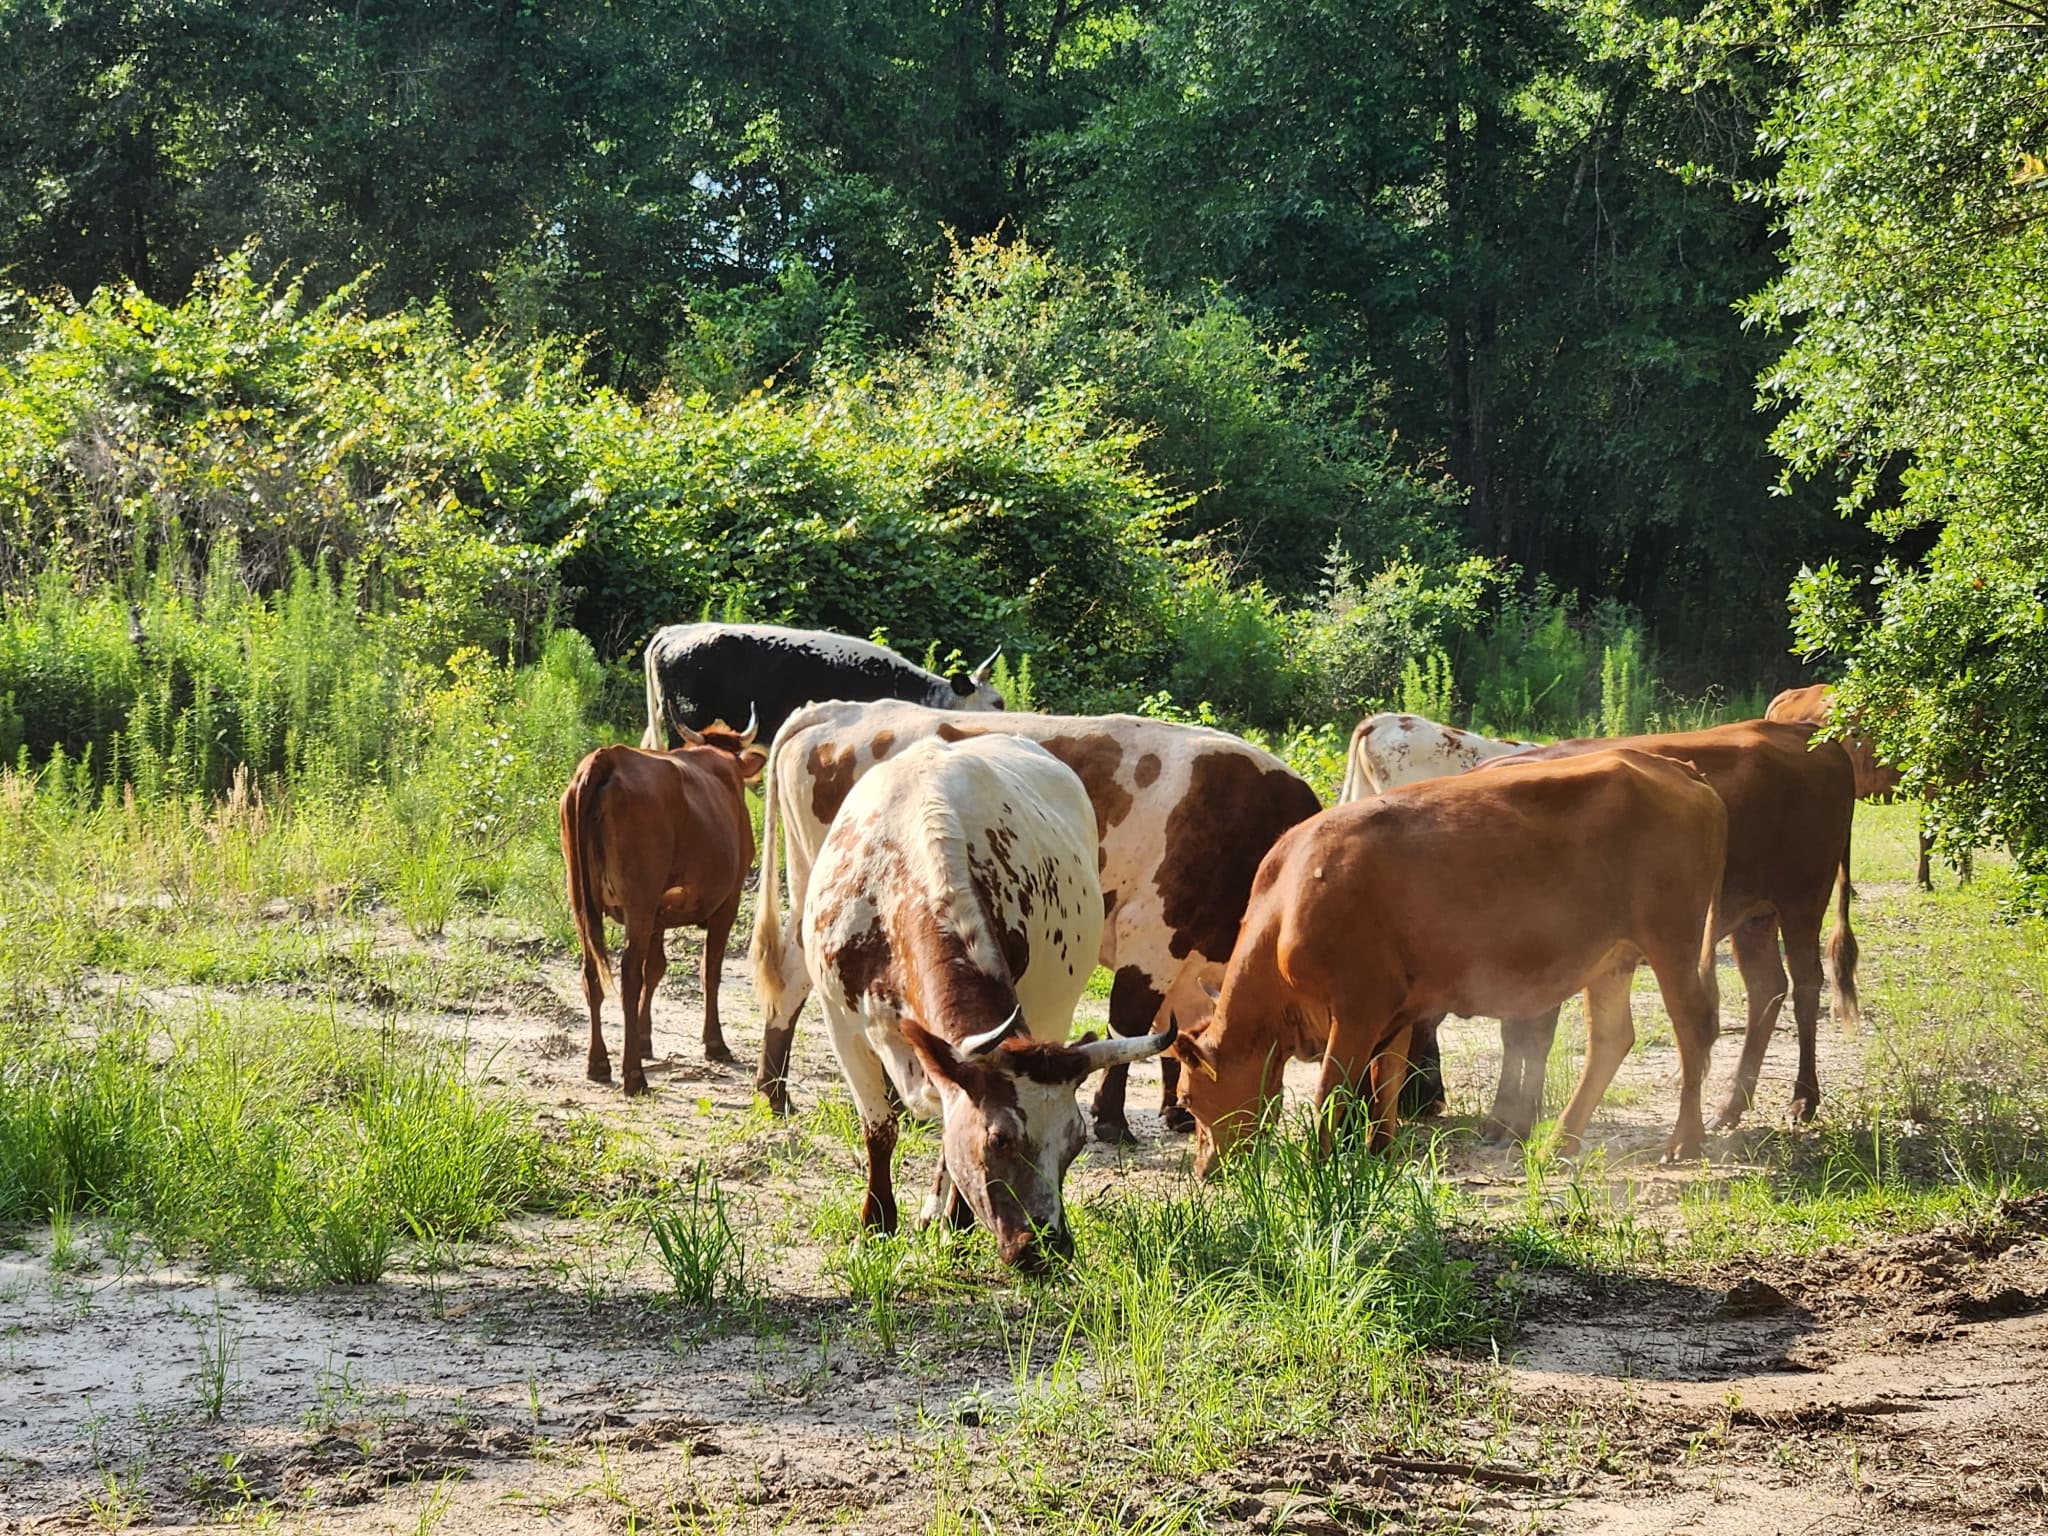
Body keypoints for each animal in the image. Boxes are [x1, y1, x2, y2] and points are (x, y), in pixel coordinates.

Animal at [559, 722, 768, 1096]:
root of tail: (609, 756)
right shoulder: (728, 902)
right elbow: (710, 971)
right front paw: (715, 1043)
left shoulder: (657, 913)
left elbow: (655, 969)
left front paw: (644, 1038)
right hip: (638, 902)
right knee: (629, 973)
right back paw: (633, 1075)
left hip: (581, 900)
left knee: (592, 973)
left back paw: (598, 1064)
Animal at [749, 701, 1323, 1141]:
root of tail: (833, 709)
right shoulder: (1152, 937)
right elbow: (1132, 1025)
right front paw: (1113, 1122)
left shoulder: (1187, 960)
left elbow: (1176, 1031)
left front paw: (1175, 1112)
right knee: (798, 977)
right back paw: (779, 1094)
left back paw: (778, 1093)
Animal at [802, 733, 1175, 1268]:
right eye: (999, 1139)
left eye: (1076, 1141)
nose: (1047, 1247)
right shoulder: (842, 1024)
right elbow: (880, 1129)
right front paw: (874, 1227)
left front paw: (953, 1225)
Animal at [1172, 749, 1727, 1173]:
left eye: (1188, 1098)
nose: (1203, 1171)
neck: (1289, 901)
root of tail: (1675, 767)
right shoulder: (1393, 1012)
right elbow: (1386, 1083)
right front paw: (1380, 1154)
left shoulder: (1356, 1009)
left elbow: (1331, 1092)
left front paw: (1317, 1167)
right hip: (1612, 957)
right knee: (1611, 1039)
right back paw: (1560, 1143)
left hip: (1672, 940)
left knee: (1692, 1027)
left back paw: (1685, 1140)